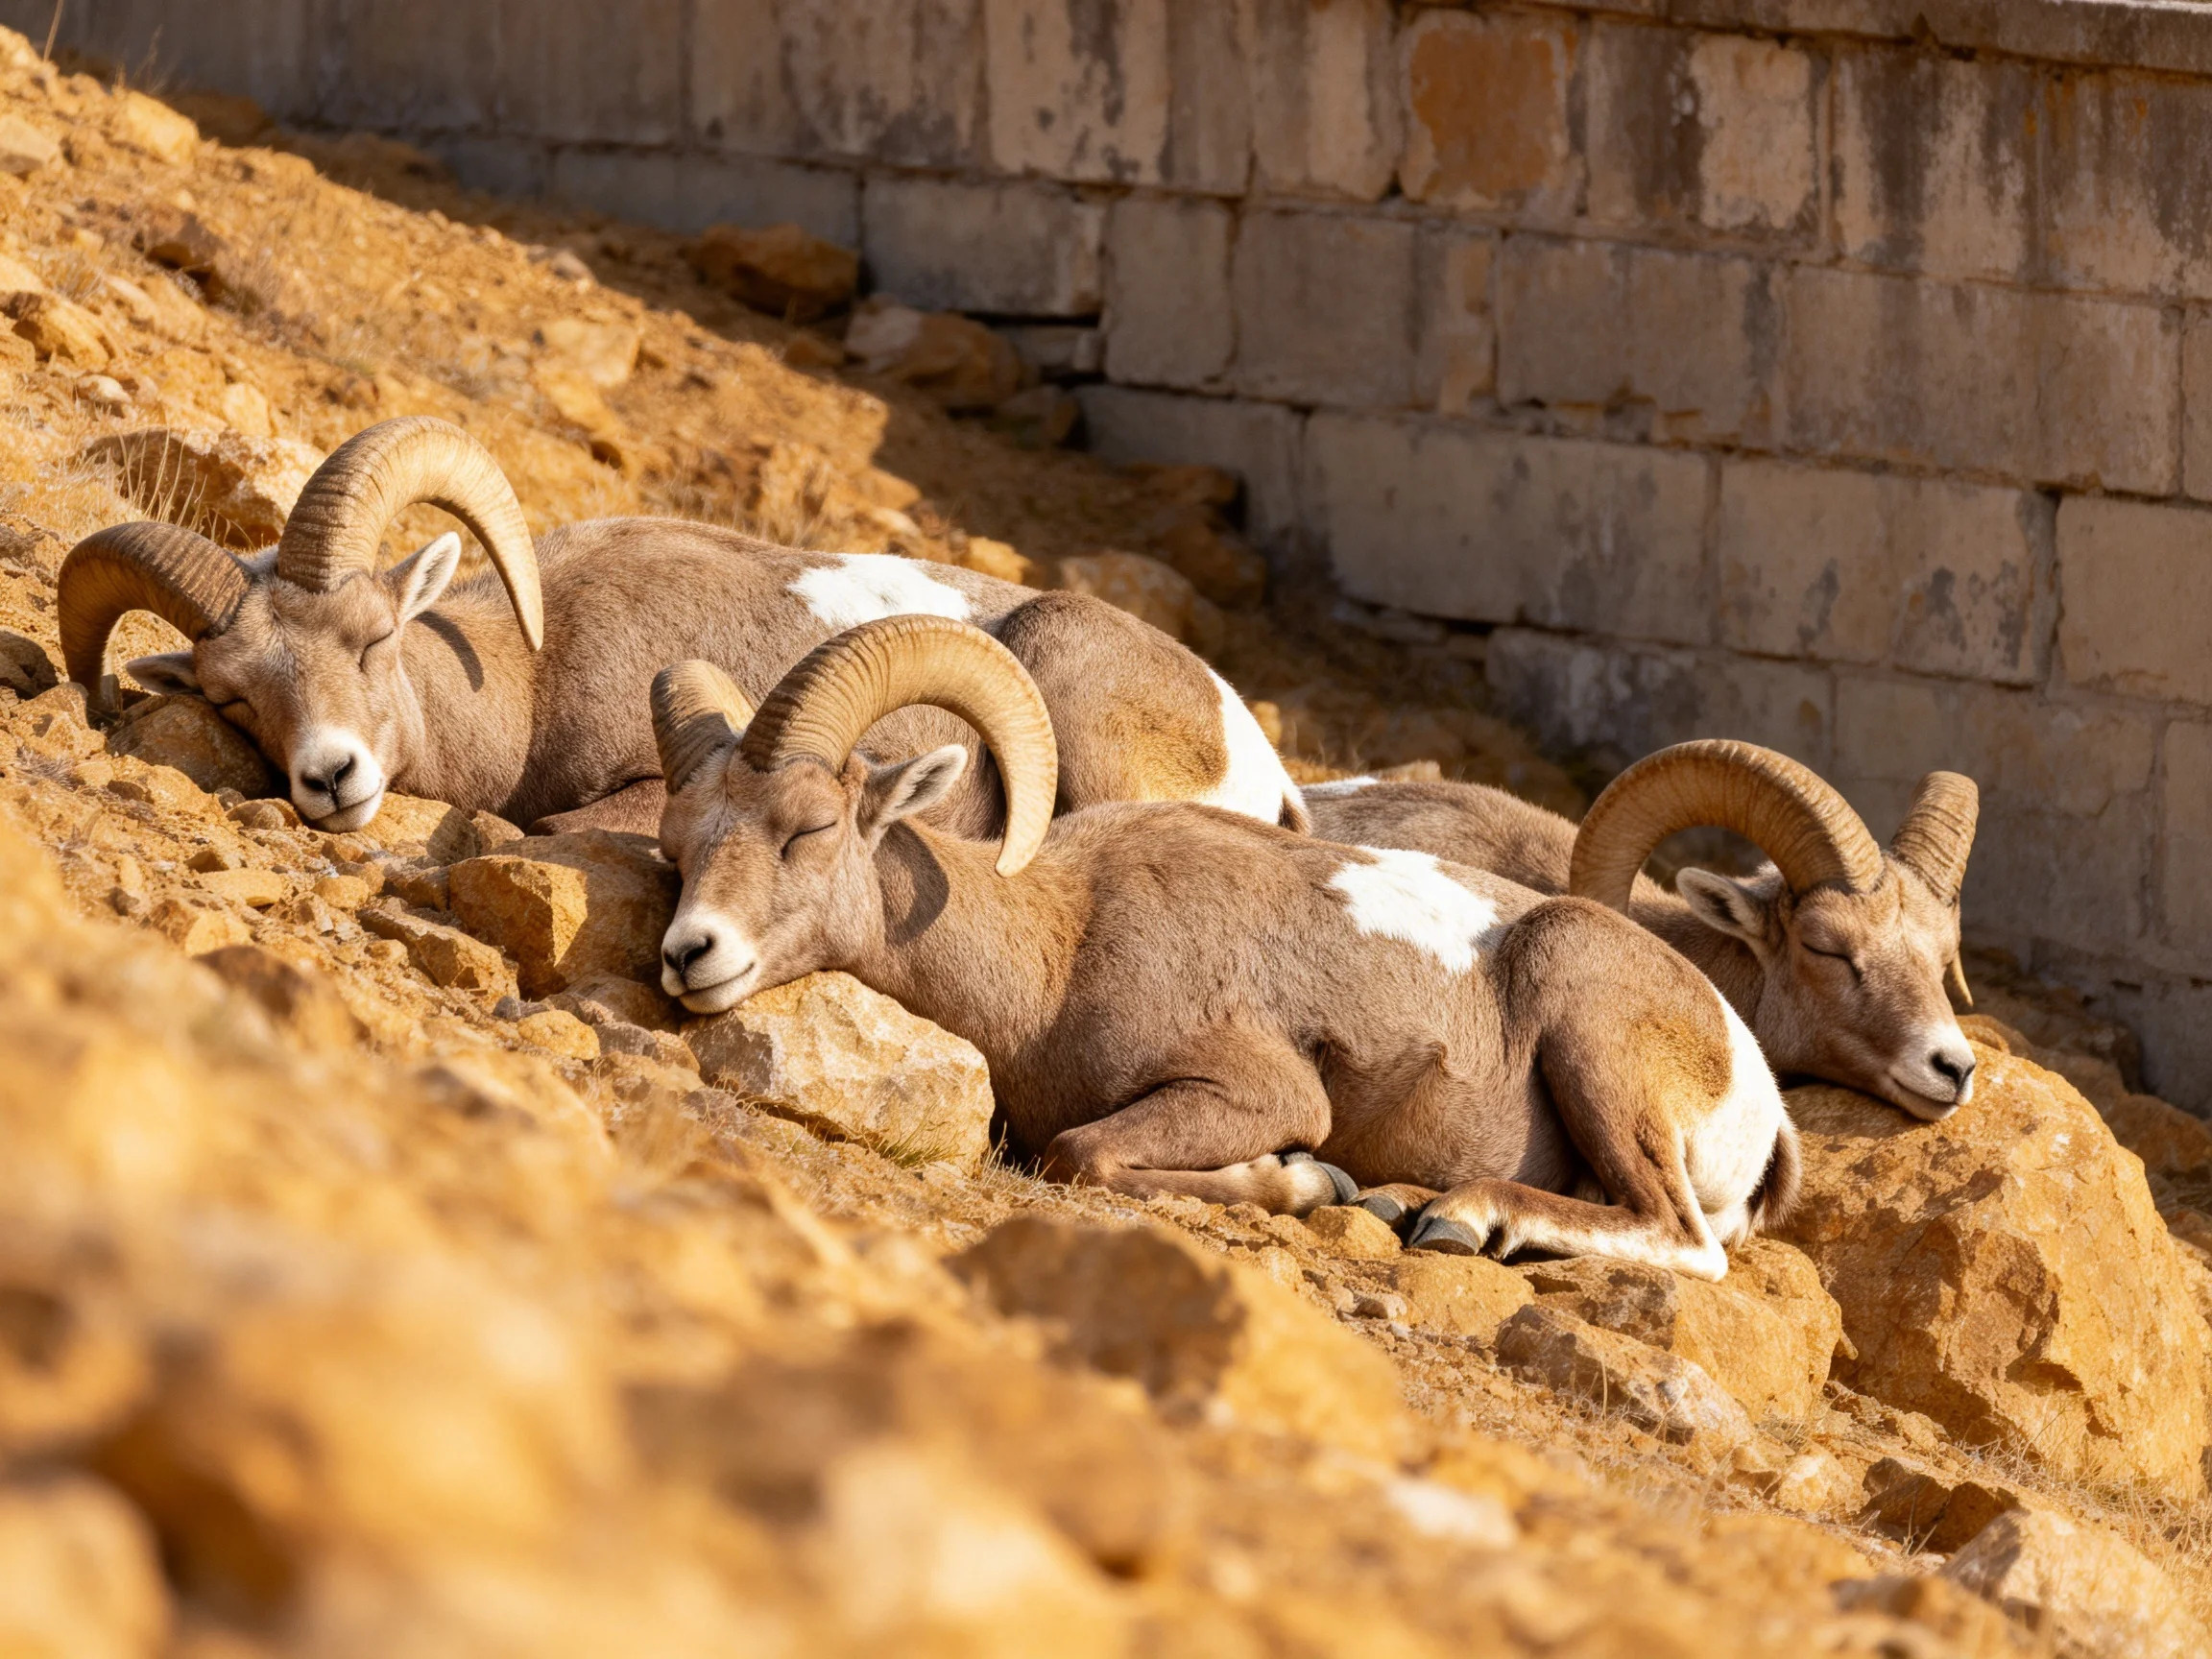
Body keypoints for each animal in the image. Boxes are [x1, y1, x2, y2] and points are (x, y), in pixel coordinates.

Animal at [648, 615, 1800, 1279]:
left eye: (807, 829)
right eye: (676, 843)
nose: (690, 954)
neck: (1059, 948)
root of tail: (1755, 1091)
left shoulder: (1259, 1091)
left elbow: (1084, 1154)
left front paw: (1305, 1184)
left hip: (1589, 1027)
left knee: (1681, 1239)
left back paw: (1460, 1221)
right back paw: (1406, 1204)